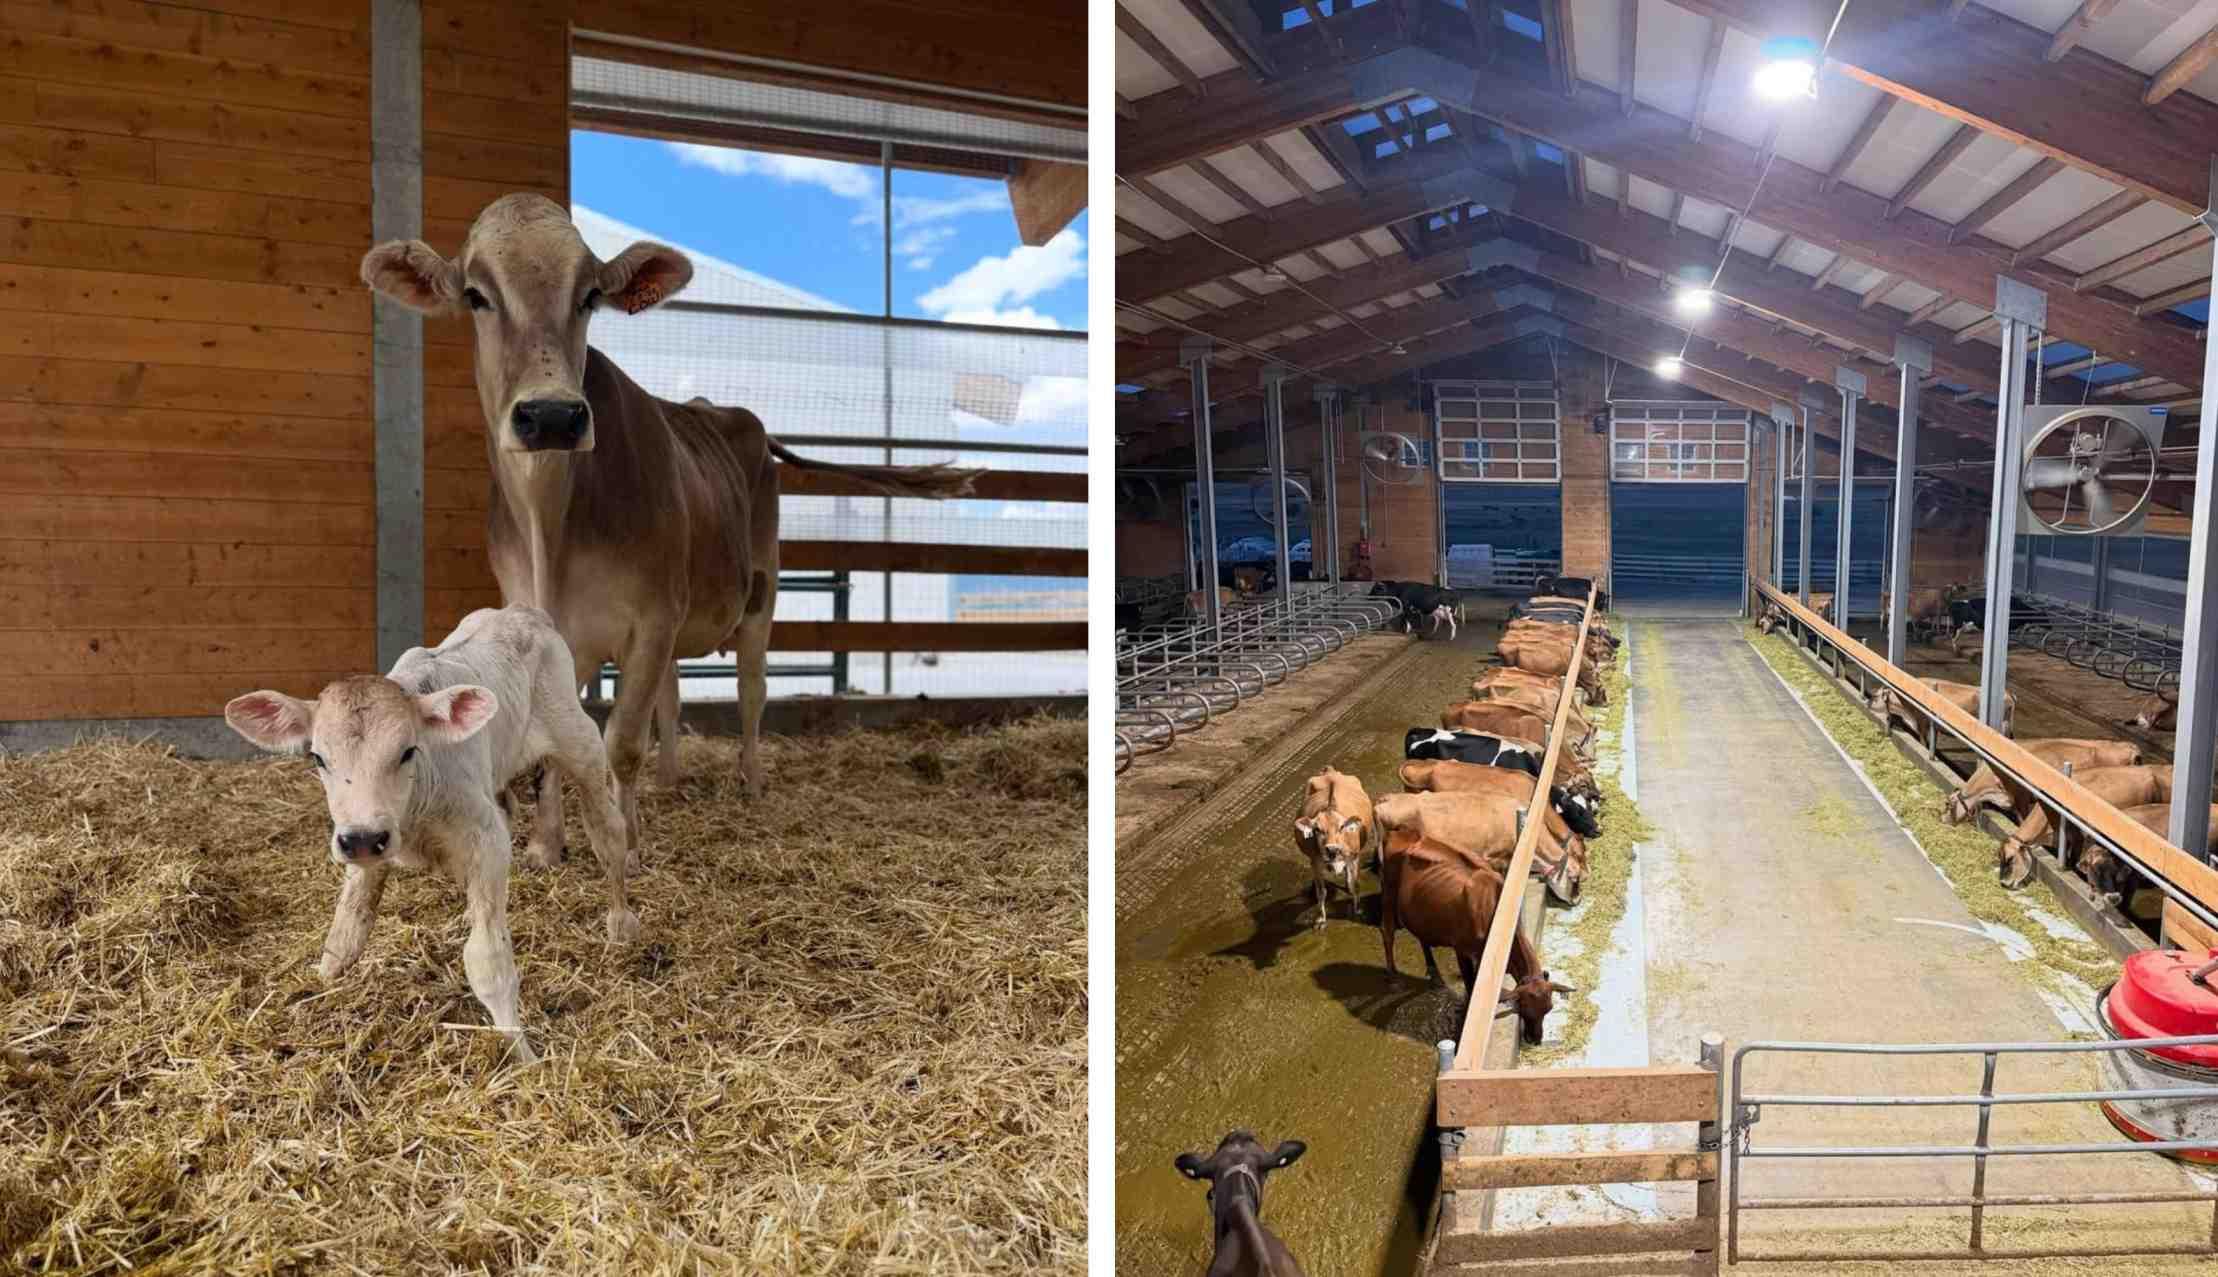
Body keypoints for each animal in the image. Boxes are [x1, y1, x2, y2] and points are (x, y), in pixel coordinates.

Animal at [223, 606, 633, 1065]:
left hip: (580, 742)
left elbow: (488, 959)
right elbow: (346, 934)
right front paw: (316, 988)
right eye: (318, 758)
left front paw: (522, 1052)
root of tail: (521, 612)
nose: (362, 838)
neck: (415, 813)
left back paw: (621, 922)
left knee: (608, 834)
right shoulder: (368, 846)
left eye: (407, 751)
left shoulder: (486, 842)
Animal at [361, 194, 979, 868]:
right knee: (673, 694)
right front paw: (548, 844)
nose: (551, 415)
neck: (552, 527)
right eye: (476, 295)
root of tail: (727, 414)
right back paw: (669, 781)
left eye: (589, 296)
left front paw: (624, 843)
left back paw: (749, 782)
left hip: (760, 593)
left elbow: (622, 740)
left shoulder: (654, 615)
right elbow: (560, 738)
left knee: (752, 689)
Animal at [1293, 767, 1373, 929]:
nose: (1331, 849)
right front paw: (1321, 919)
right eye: (1317, 829)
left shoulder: (1354, 857)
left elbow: (1356, 883)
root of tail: (1330, 771)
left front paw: (1358, 910)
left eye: (1342, 827)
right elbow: (1321, 892)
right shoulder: (1315, 862)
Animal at [1377, 828, 1573, 1042]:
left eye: (1549, 1009)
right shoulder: (1461, 949)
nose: (1535, 1040)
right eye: (1524, 1008)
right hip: (1388, 893)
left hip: (1421, 910)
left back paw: (1435, 975)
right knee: (1387, 931)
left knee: (1423, 938)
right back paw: (1393, 978)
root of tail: (1401, 832)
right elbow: (1470, 985)